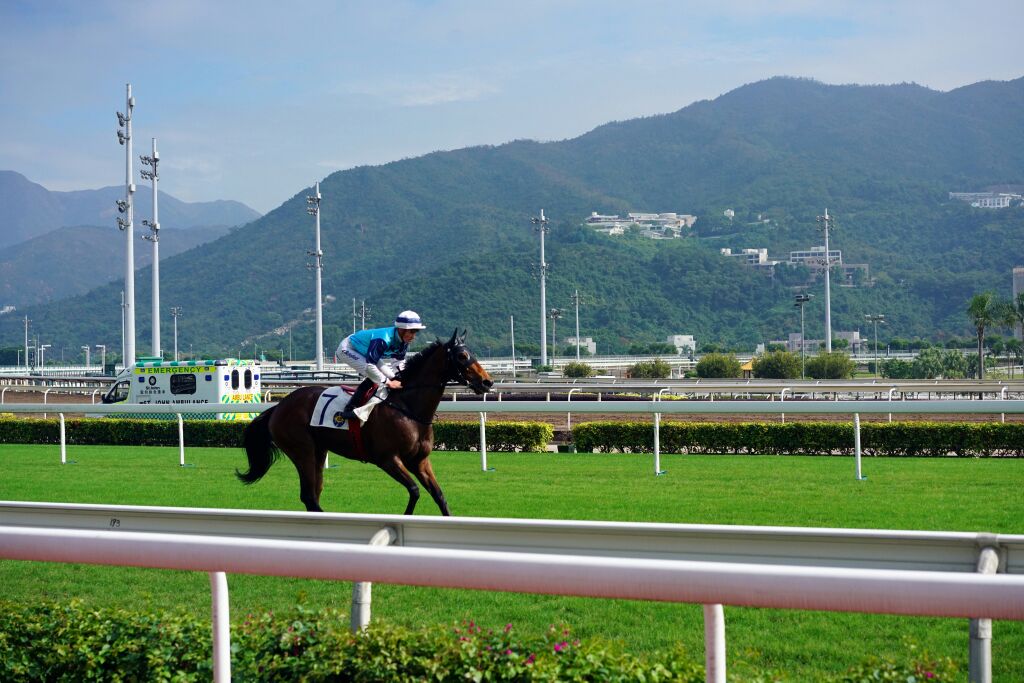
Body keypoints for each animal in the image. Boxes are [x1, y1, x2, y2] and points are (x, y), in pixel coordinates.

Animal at [235, 329, 491, 511]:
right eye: (462, 355)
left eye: (474, 353)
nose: (487, 382)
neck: (407, 407)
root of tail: (279, 406)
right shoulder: (387, 459)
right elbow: (414, 491)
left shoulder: (419, 461)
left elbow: (439, 496)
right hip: (301, 450)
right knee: (309, 495)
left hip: (318, 450)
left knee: (313, 494)